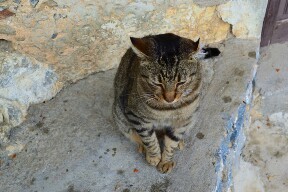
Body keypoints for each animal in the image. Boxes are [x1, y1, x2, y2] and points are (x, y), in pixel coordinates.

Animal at [112, 32, 218, 173]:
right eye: (157, 83)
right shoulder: (136, 117)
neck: (169, 109)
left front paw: (166, 161)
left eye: (181, 82)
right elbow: (149, 139)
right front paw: (154, 156)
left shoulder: (182, 121)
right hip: (120, 116)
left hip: (192, 118)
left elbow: (171, 142)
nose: (169, 98)